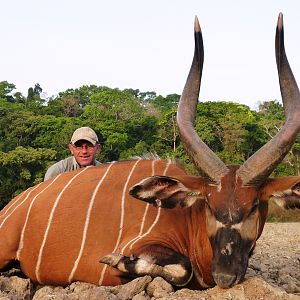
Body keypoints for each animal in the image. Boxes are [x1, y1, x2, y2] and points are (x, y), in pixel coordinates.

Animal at [0, 13, 300, 288]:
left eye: (253, 206)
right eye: (209, 205)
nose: (224, 276)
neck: (187, 219)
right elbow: (182, 268)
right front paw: (116, 260)